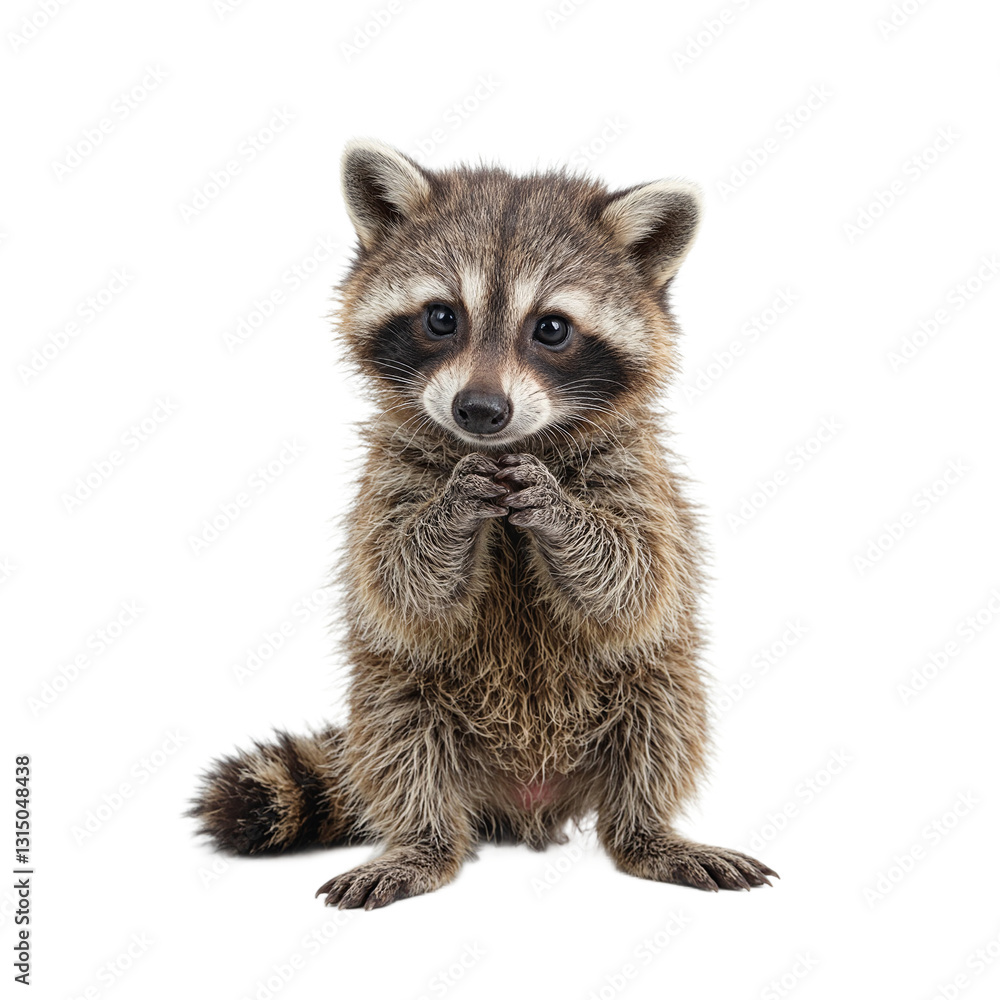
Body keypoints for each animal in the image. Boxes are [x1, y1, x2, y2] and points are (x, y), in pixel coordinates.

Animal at [189, 139, 778, 908]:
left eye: (551, 328)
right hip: (400, 696)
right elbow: (399, 578)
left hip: (657, 677)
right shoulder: (389, 472)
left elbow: (636, 580)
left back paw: (647, 832)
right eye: (442, 317)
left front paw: (562, 514)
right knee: (401, 735)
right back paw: (424, 844)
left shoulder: (639, 473)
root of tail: (527, 800)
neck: (503, 453)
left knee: (661, 716)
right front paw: (448, 517)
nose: (479, 409)